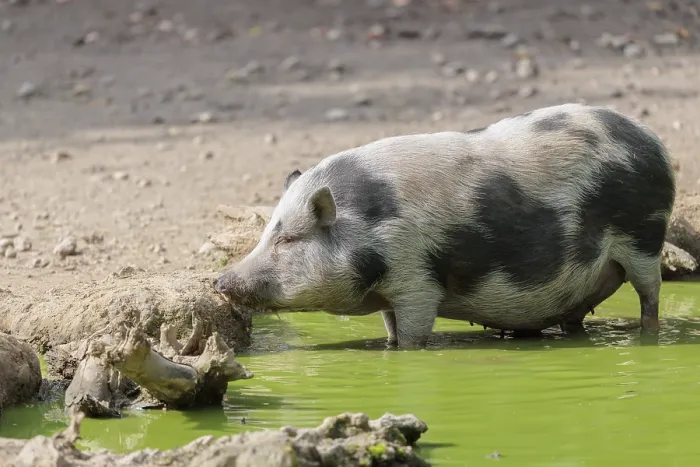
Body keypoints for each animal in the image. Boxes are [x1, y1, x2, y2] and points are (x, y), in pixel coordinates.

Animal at [214, 103, 676, 348]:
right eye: (265, 235)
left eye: (289, 239)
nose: (221, 281)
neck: (367, 228)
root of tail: (651, 140)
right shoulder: (393, 292)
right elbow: (391, 332)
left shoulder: (417, 282)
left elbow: (413, 338)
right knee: (576, 317)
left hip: (644, 236)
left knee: (650, 294)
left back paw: (648, 336)